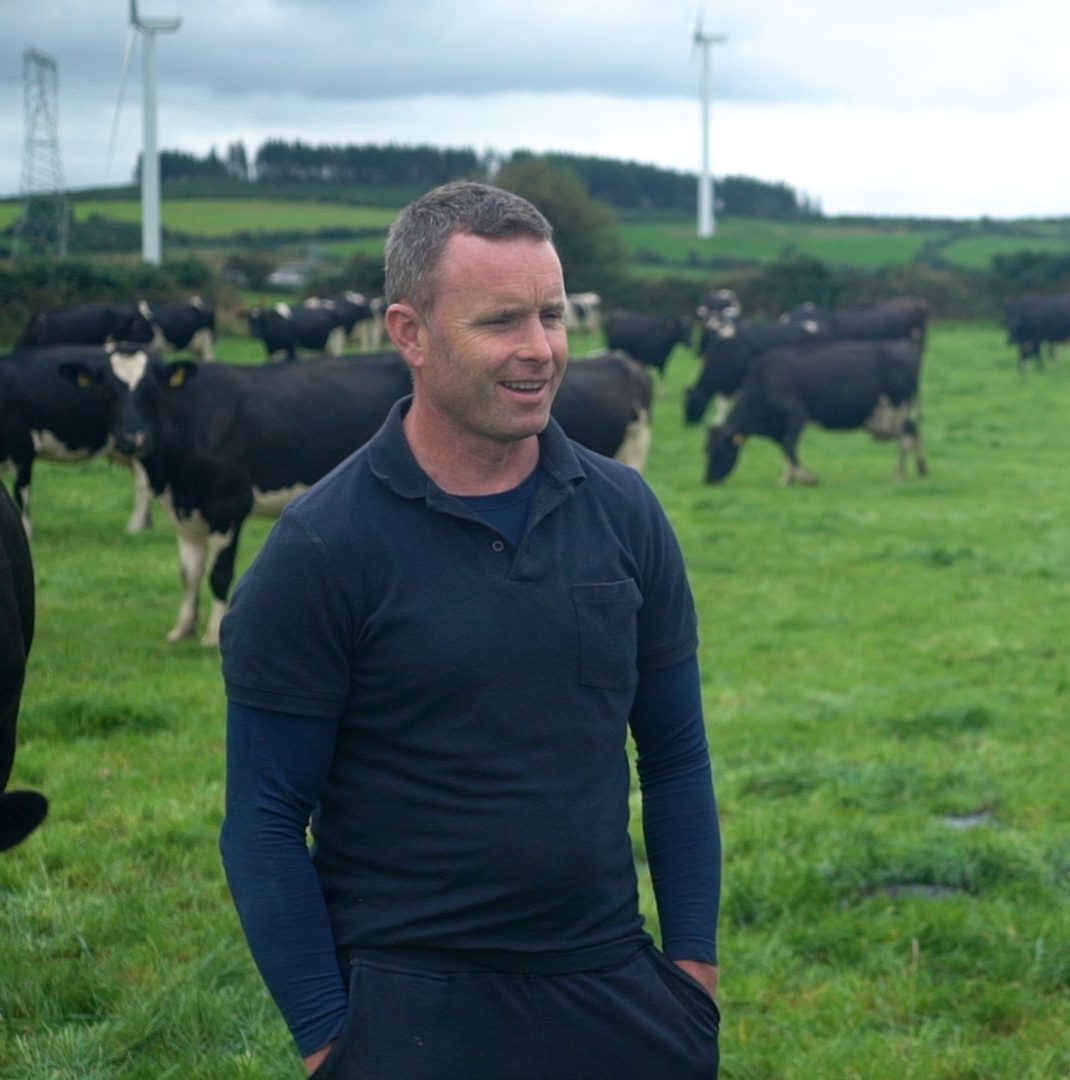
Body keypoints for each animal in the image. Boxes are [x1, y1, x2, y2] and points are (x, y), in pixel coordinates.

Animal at [703, 341, 928, 486]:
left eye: (718, 450)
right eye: (706, 450)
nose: (708, 480)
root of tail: (906, 348)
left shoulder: (796, 416)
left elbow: (789, 446)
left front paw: (807, 478)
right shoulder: (780, 426)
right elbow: (785, 450)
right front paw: (787, 478)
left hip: (898, 408)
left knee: (904, 441)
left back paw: (899, 476)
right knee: (914, 432)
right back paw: (922, 469)